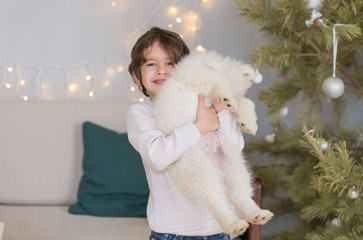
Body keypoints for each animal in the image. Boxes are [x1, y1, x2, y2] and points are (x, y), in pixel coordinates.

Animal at [153, 51, 272, 234]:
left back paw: (257, 214)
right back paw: (234, 224)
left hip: (234, 164)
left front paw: (248, 122)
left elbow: (246, 102)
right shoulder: (198, 74)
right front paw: (228, 99)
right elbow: (219, 78)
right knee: (216, 200)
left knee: (239, 194)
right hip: (196, 167)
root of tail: (216, 167)